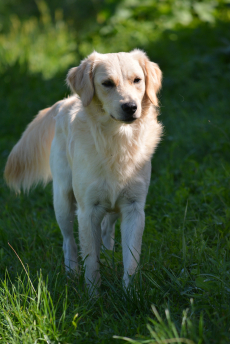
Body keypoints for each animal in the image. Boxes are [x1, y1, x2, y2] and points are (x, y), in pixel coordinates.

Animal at [5, 50, 164, 292]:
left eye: (137, 80)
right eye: (107, 83)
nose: (130, 107)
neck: (116, 141)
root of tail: (65, 102)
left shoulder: (134, 208)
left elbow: (131, 259)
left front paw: (130, 293)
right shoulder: (87, 210)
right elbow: (90, 261)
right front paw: (93, 294)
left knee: (107, 228)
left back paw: (108, 257)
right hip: (63, 200)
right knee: (68, 241)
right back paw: (72, 272)